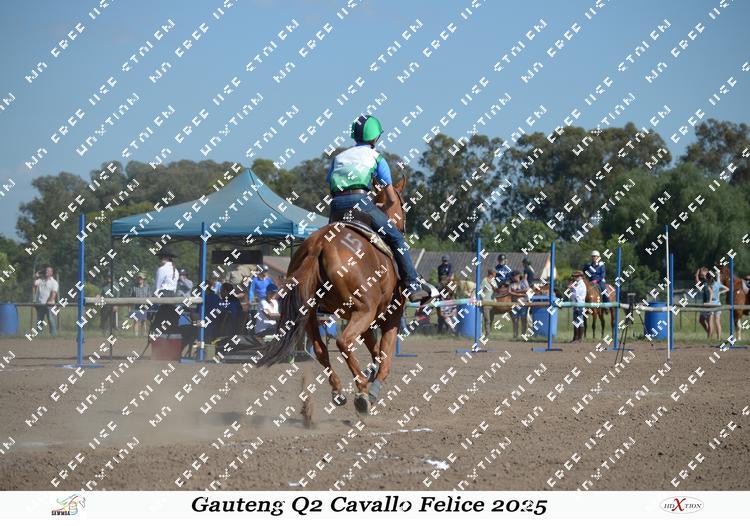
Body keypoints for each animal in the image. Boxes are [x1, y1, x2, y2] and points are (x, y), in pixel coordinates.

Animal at [255, 176, 410, 415]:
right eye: (402, 204)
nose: (403, 227)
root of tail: (320, 243)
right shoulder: (390, 315)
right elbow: (384, 357)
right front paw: (373, 387)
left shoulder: (365, 321)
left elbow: (375, 351)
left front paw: (370, 374)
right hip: (363, 311)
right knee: (343, 342)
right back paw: (362, 391)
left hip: (312, 314)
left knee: (321, 350)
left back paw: (339, 391)